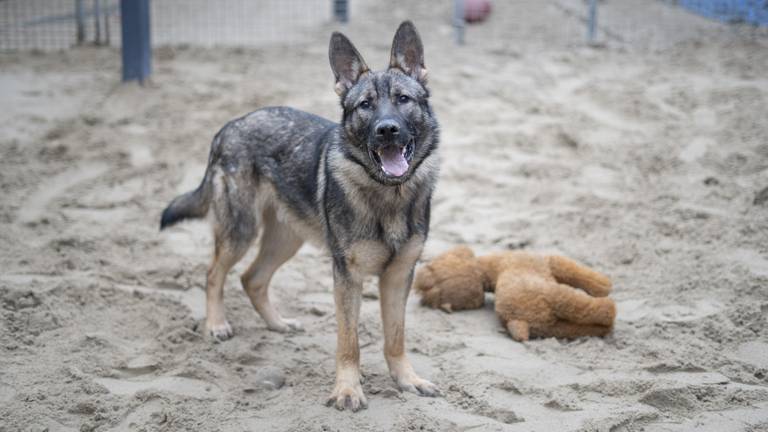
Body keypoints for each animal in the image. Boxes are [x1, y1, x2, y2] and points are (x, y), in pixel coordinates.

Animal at [160, 21, 438, 412]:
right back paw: (216, 324)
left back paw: (278, 324)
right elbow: (349, 342)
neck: (388, 195)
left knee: (252, 279)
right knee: (214, 273)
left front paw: (407, 380)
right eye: (365, 105)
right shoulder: (347, 278)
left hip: (286, 240)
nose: (387, 129)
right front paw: (348, 390)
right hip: (241, 231)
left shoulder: (398, 277)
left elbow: (396, 338)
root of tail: (230, 126)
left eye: (403, 100)